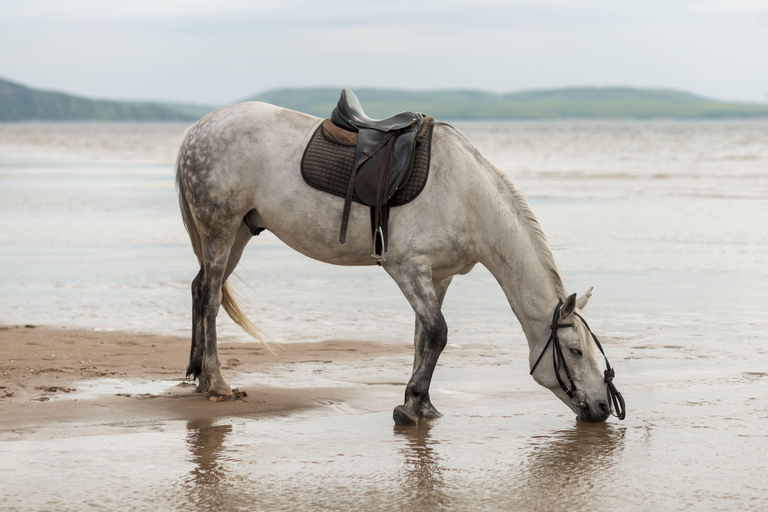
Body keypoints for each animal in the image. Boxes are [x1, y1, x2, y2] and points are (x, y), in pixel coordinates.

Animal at [175, 100, 625, 426]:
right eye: (574, 351)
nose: (604, 408)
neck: (467, 197)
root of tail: (198, 129)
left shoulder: (439, 277)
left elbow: (423, 337)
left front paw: (422, 404)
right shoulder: (408, 269)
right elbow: (438, 333)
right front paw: (410, 407)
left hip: (238, 233)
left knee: (199, 289)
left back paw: (198, 377)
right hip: (220, 228)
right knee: (211, 297)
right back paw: (217, 382)